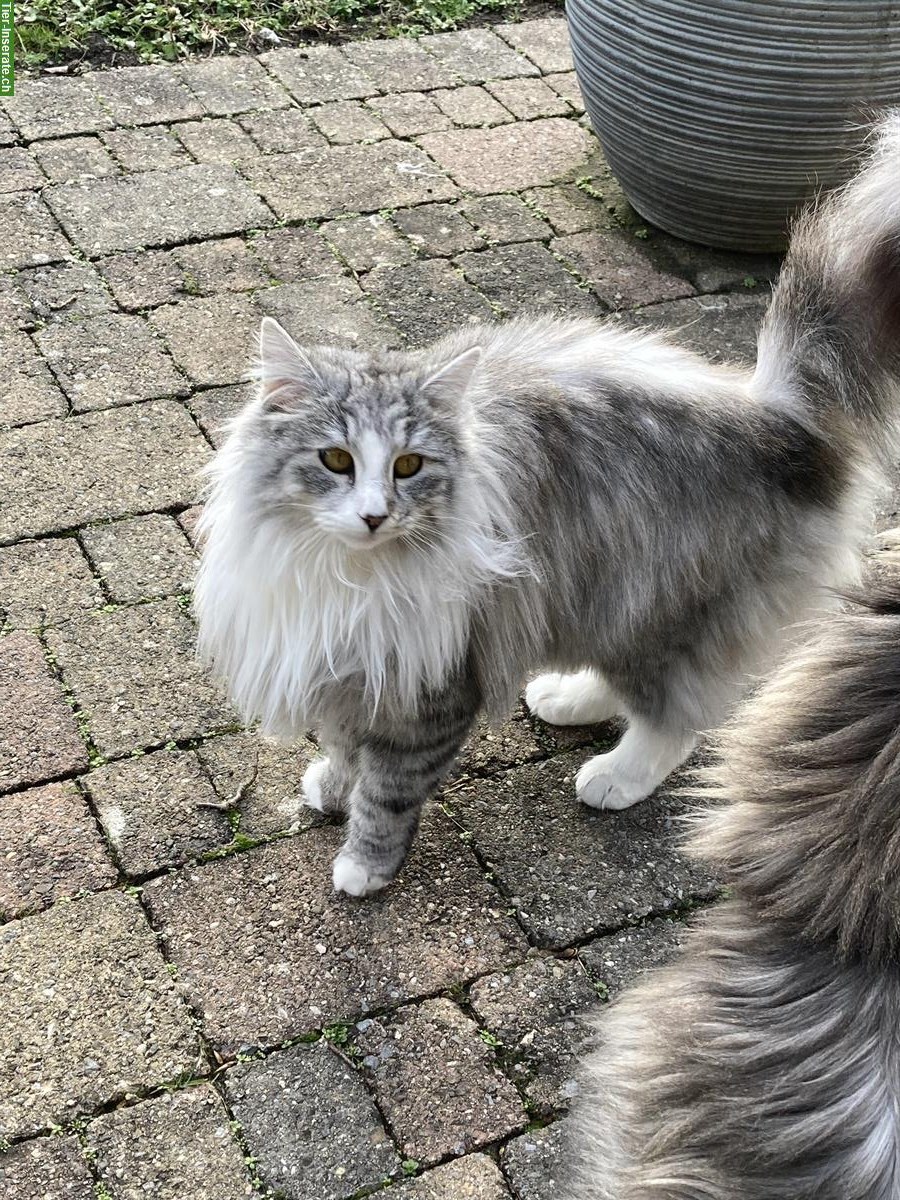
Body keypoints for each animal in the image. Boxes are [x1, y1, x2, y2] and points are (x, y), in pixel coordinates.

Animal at [195, 117, 900, 897]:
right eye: (336, 462)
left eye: (408, 466)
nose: (374, 515)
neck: (343, 577)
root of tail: (778, 414)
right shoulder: (352, 666)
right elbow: (347, 748)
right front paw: (329, 784)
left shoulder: (431, 685)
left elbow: (388, 790)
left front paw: (364, 865)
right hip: (606, 597)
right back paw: (566, 698)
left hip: (660, 602)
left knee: (675, 717)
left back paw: (615, 776)